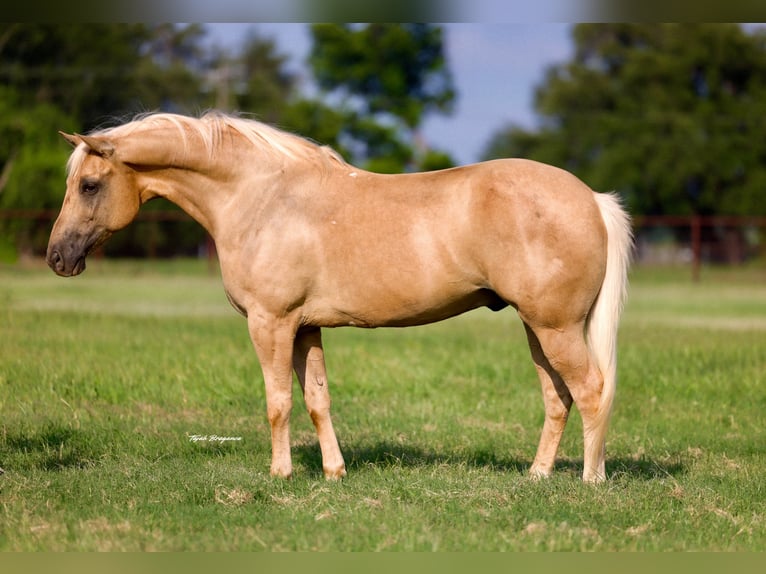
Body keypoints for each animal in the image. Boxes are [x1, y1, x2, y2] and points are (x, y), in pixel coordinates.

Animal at [46, 111, 632, 483]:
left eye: (89, 185)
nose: (57, 257)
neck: (262, 196)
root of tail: (591, 197)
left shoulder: (271, 323)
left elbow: (278, 402)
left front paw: (280, 474)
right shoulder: (306, 327)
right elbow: (316, 400)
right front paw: (333, 472)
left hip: (555, 329)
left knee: (590, 391)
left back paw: (590, 480)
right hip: (538, 328)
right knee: (558, 398)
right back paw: (537, 476)